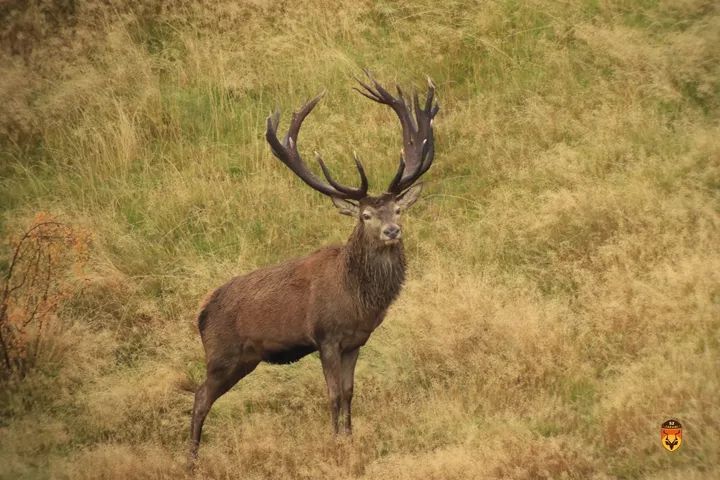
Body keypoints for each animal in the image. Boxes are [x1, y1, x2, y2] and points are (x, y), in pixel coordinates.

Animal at [188, 72, 438, 462]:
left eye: (398, 209)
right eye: (366, 215)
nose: (392, 231)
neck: (357, 299)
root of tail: (200, 312)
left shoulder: (355, 340)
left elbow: (349, 392)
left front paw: (349, 438)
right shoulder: (326, 336)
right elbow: (333, 394)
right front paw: (335, 443)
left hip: (244, 359)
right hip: (222, 353)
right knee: (199, 396)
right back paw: (192, 458)